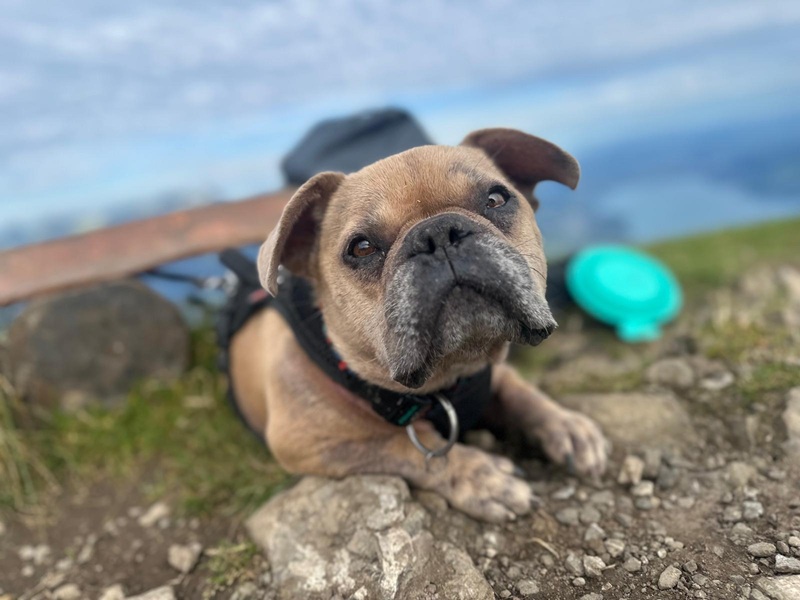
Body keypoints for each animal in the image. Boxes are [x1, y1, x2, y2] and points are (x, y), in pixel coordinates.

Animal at [227, 128, 607, 523]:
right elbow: (406, 447)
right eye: (361, 247)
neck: (448, 378)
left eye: (496, 199)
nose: (438, 234)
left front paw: (564, 424)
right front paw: (482, 478)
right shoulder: (312, 443)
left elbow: (520, 392)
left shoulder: (493, 370)